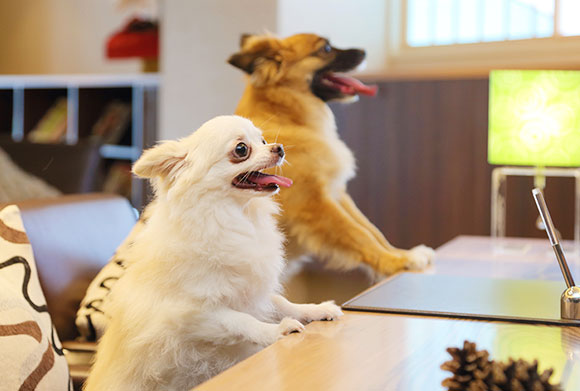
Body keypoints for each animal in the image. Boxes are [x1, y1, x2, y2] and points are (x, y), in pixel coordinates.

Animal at [84, 116, 342, 391]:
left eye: (262, 140)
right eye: (241, 149)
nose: (279, 148)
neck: (233, 217)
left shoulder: (251, 292)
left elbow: (283, 303)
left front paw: (316, 310)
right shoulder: (193, 313)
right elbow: (241, 320)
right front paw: (275, 331)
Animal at [229, 35, 432, 278]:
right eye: (325, 48)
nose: (364, 51)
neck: (288, 117)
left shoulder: (337, 194)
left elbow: (371, 230)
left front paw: (399, 254)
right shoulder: (316, 204)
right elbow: (358, 234)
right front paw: (397, 262)